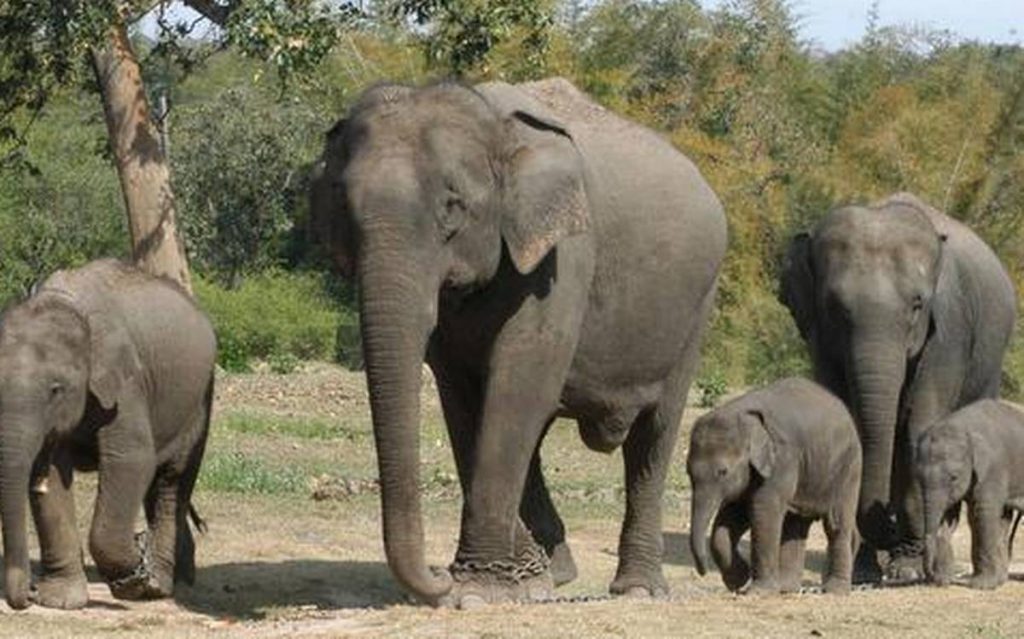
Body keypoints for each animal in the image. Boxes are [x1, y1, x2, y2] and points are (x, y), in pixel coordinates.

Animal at [0, 259, 216, 609]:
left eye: (56, 390)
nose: (29, 593)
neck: (68, 303)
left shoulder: (126, 382)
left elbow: (131, 461)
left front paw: (136, 578)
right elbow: (50, 477)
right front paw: (61, 600)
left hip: (199, 400)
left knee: (172, 479)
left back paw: (161, 583)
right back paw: (178, 574)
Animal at [311, 77, 726, 607]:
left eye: (453, 206)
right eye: (344, 207)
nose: (437, 575)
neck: (492, 121)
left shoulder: (564, 258)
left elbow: (517, 388)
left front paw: (478, 590)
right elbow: (467, 401)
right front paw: (522, 579)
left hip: (697, 309)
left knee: (655, 432)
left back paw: (637, 590)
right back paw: (557, 570)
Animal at [687, 378, 861, 595]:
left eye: (723, 472)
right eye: (688, 472)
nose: (701, 572)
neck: (744, 415)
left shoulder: (782, 460)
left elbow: (763, 512)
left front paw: (757, 591)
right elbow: (733, 517)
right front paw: (738, 581)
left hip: (848, 466)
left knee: (836, 522)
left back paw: (834, 590)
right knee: (795, 524)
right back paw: (786, 588)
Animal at [779, 192, 1017, 581]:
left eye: (917, 304)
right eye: (833, 307)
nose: (888, 524)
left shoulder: (948, 331)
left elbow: (919, 425)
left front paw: (906, 570)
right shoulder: (817, 334)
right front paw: (864, 571)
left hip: (990, 358)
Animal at [915, 399, 1024, 589]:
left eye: (954, 477)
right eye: (918, 477)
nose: (932, 579)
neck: (962, 426)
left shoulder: (993, 468)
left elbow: (983, 514)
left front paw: (982, 585)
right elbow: (960, 514)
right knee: (1004, 518)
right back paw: (1002, 579)